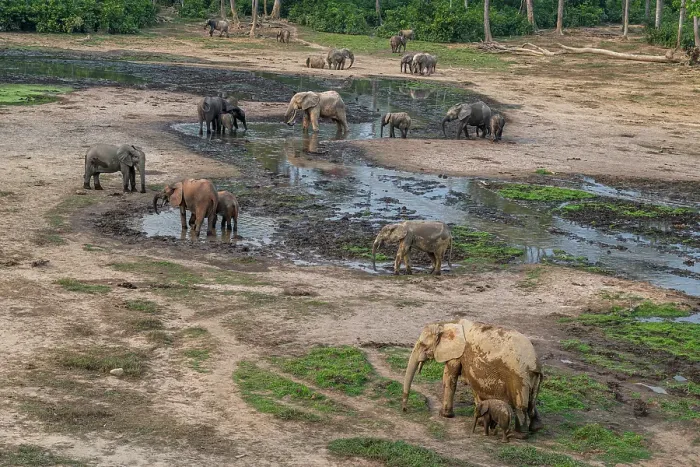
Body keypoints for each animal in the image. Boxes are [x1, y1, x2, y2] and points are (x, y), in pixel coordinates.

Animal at [402, 319, 544, 435]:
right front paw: (481, 422)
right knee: (530, 401)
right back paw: (537, 428)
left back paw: (521, 435)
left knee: (521, 404)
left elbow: (449, 378)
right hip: (529, 377)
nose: (404, 410)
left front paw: (444, 415)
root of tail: (535, 363)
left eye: (422, 345)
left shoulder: (456, 354)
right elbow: (474, 387)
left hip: (518, 376)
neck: (447, 324)